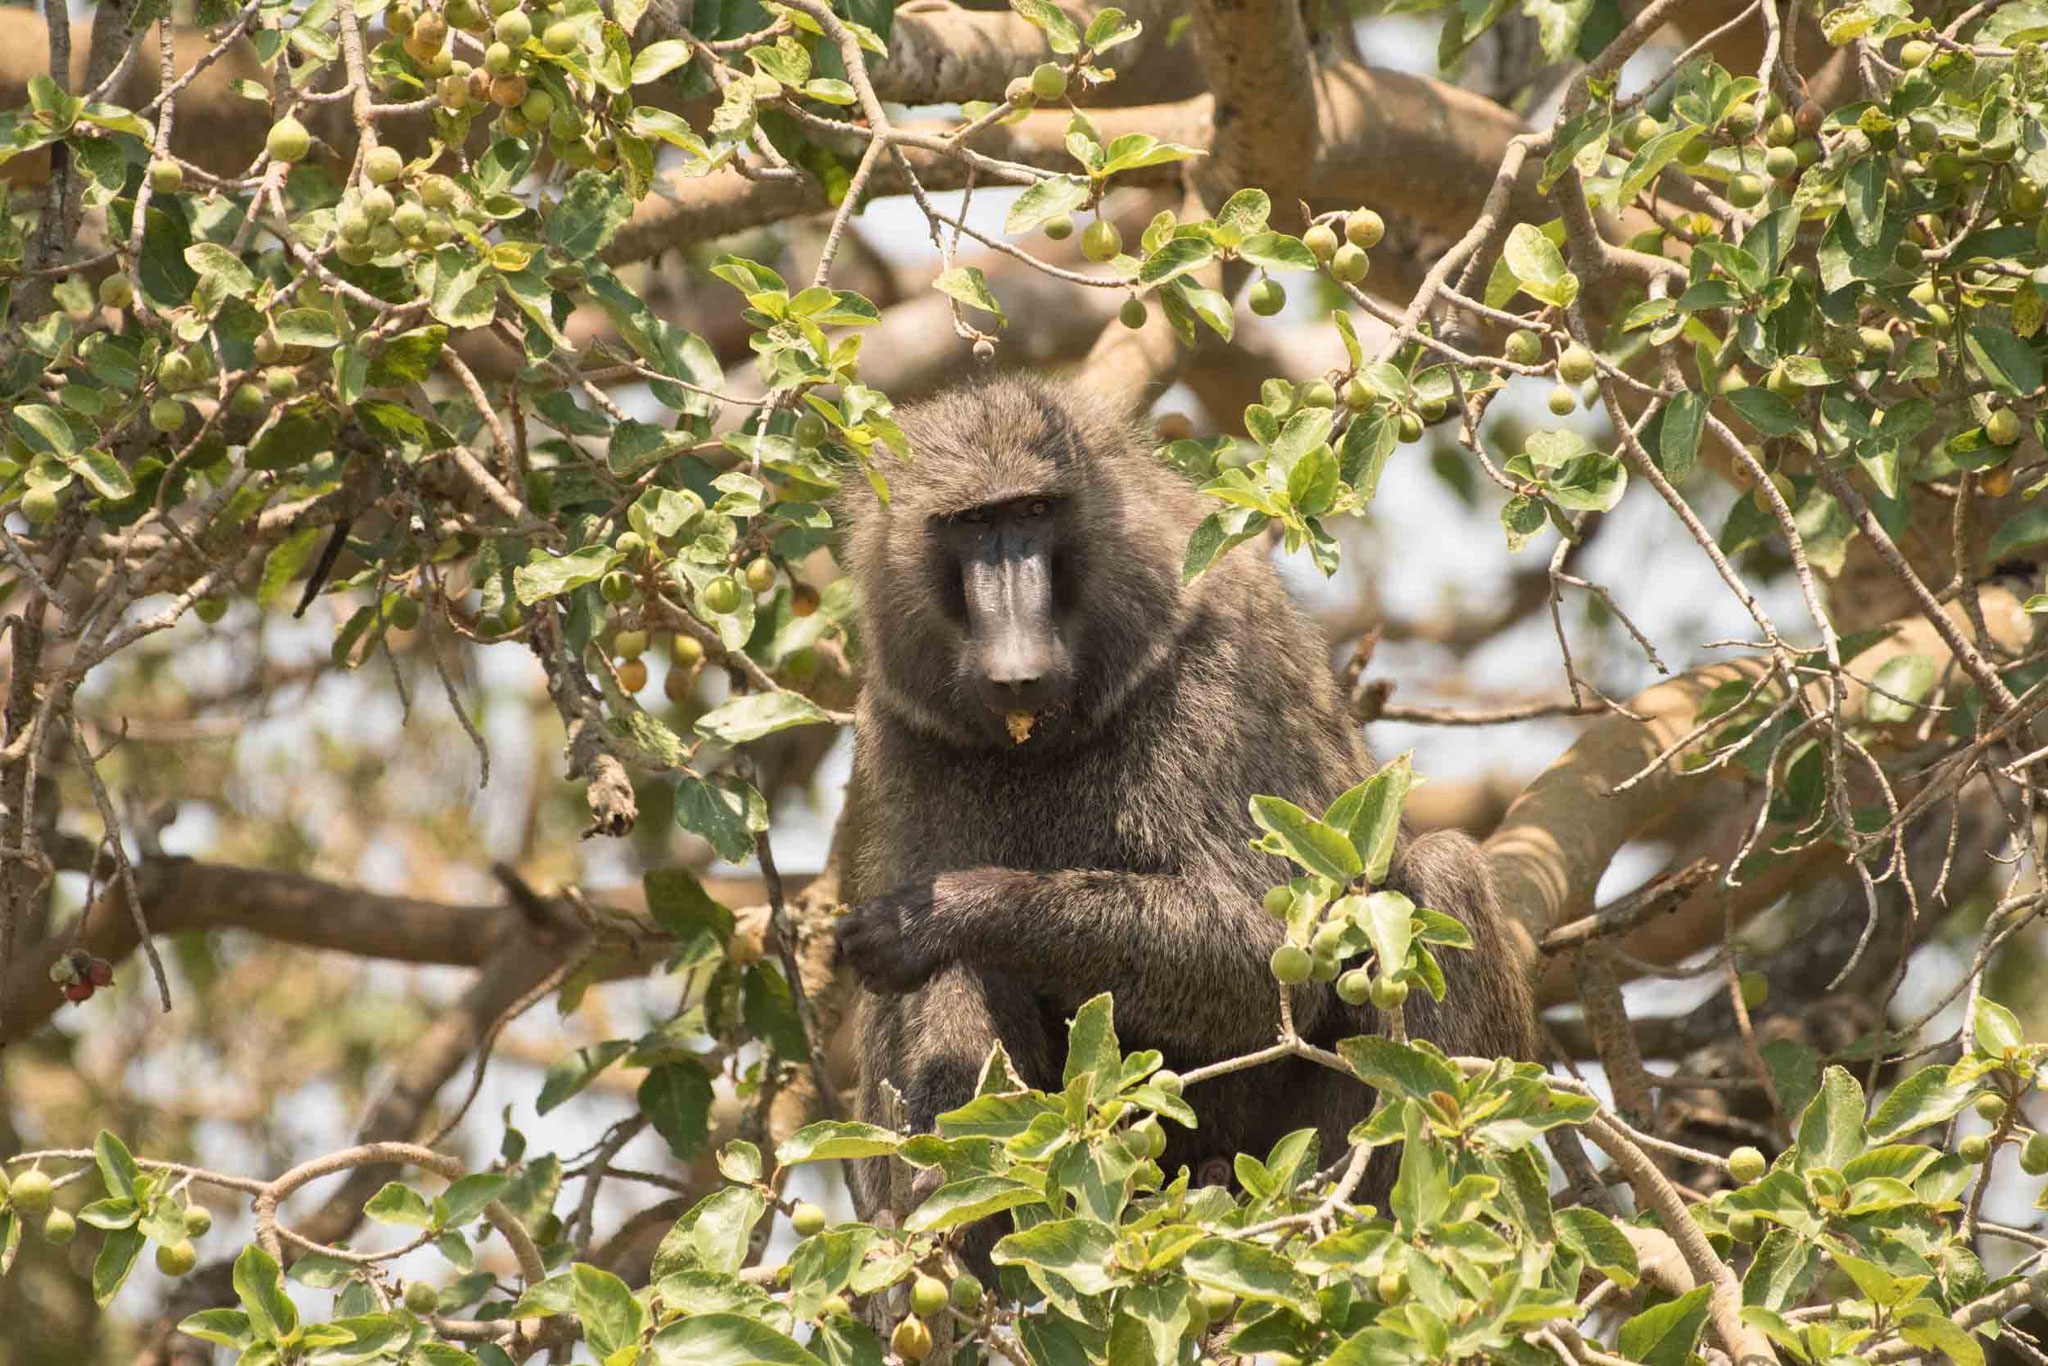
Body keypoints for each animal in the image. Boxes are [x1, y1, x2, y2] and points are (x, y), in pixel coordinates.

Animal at [831, 373, 1533, 1273]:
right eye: (971, 525)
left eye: (1034, 512)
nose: (1018, 668)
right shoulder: (897, 727)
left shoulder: (1220, 666)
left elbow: (1262, 959)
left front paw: (944, 913)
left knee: (1440, 875)